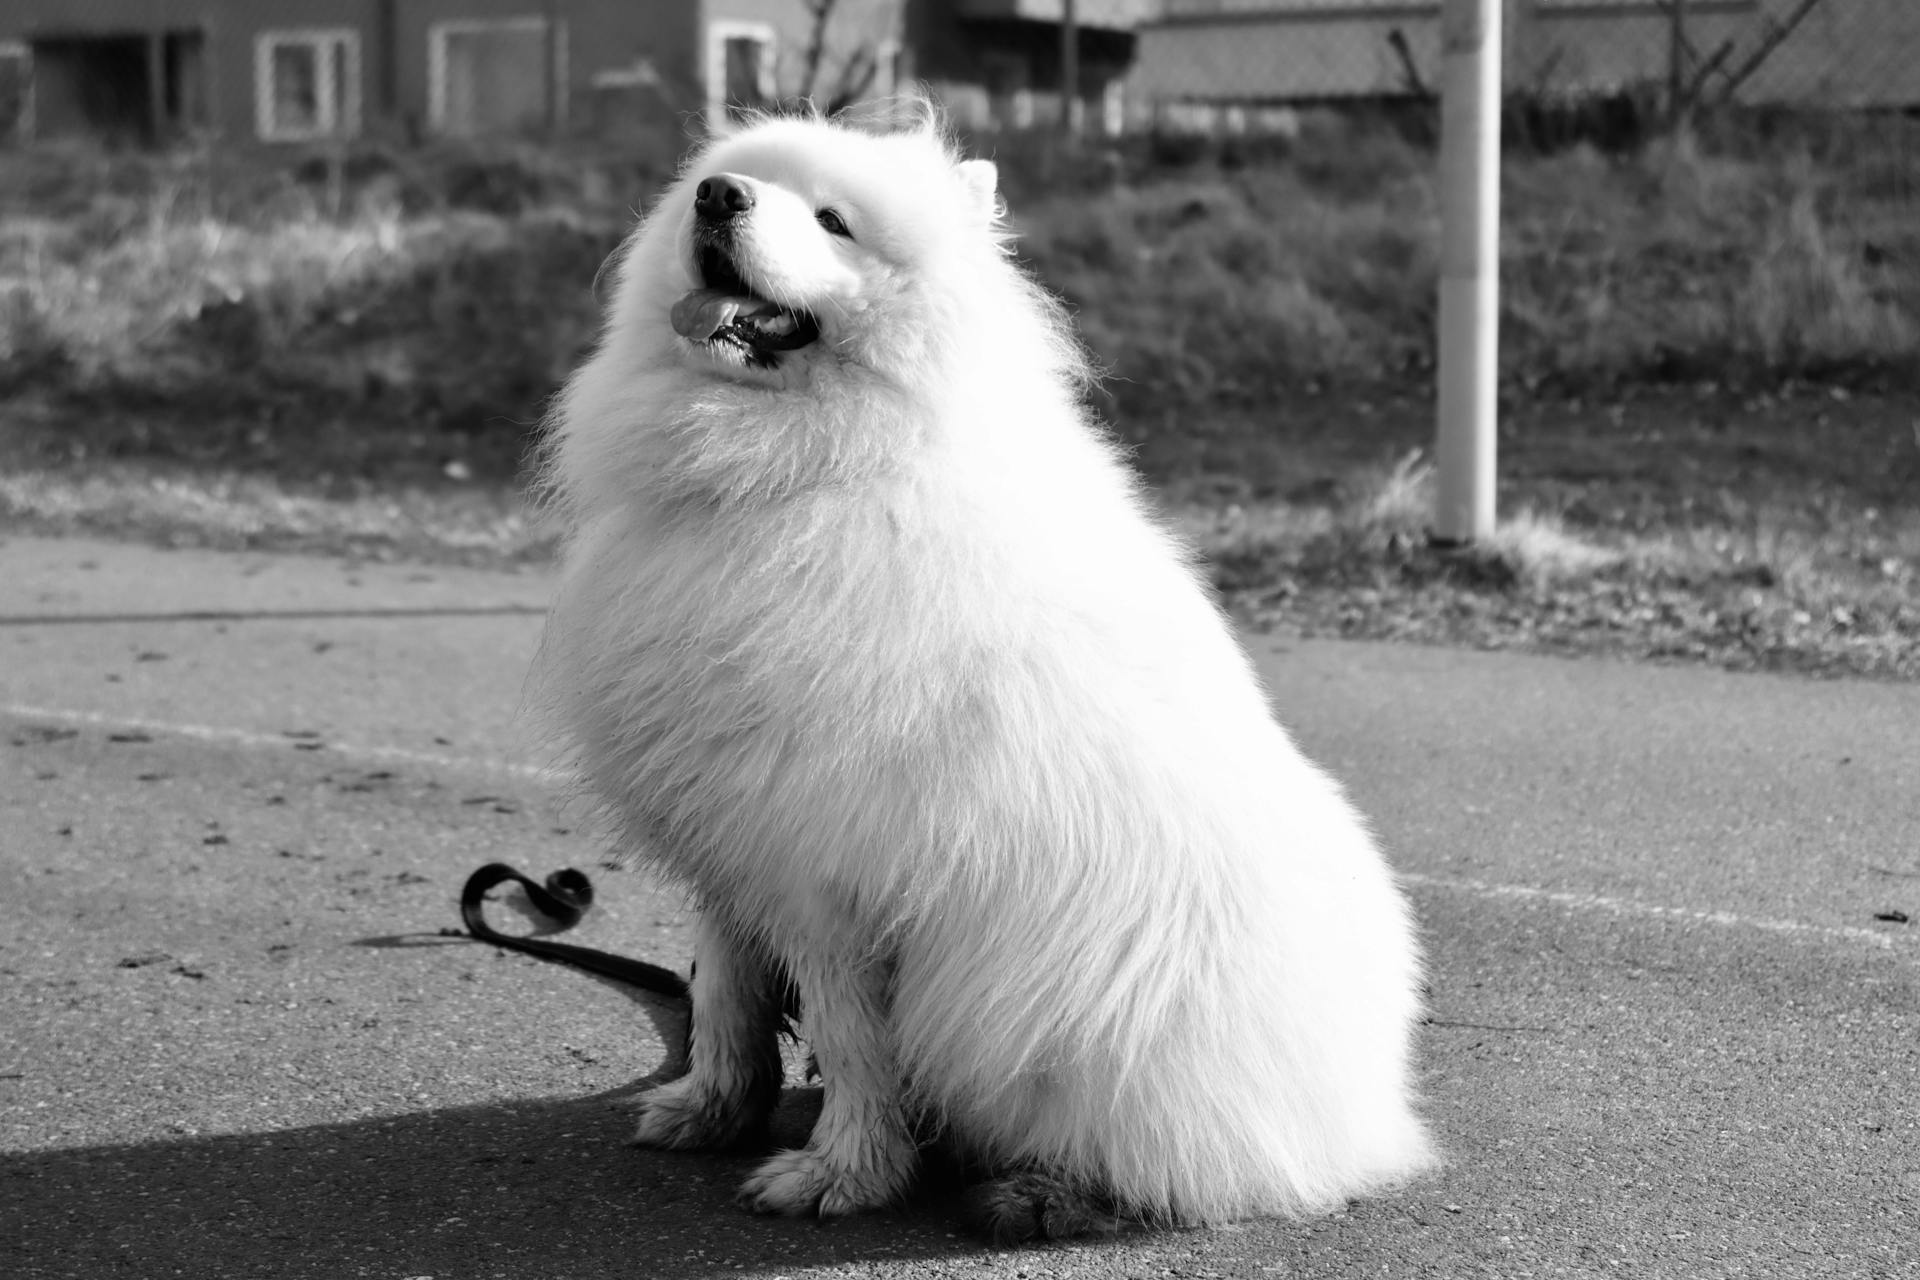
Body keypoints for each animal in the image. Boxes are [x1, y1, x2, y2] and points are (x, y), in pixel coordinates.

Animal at [533, 102, 1436, 1243]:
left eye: (833, 222)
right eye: (734, 181)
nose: (718, 198)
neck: (811, 467)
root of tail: (1370, 1127)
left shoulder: (823, 876)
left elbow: (850, 1038)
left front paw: (844, 1173)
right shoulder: (730, 839)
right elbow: (724, 995)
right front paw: (712, 1110)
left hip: (1071, 1014)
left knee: (1183, 1166)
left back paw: (1043, 1192)